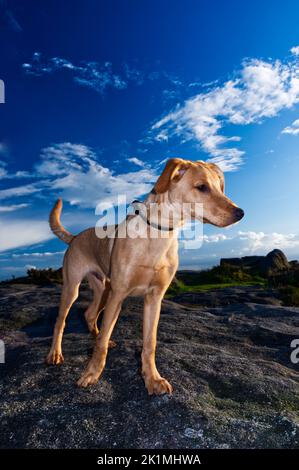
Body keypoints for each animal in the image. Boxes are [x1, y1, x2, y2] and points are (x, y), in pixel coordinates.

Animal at [46, 158, 244, 392]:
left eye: (220, 188)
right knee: (61, 321)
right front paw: (92, 374)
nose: (240, 213)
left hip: (102, 289)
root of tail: (76, 237)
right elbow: (101, 344)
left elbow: (149, 343)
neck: (159, 233)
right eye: (202, 187)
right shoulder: (118, 295)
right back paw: (55, 354)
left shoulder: (154, 298)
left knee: (90, 314)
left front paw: (152, 378)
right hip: (73, 289)